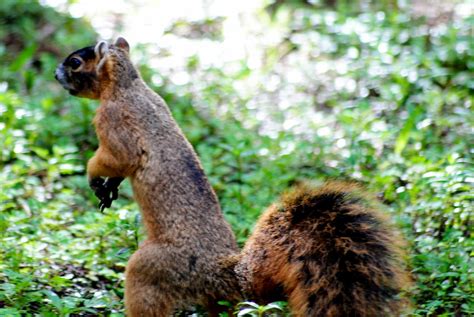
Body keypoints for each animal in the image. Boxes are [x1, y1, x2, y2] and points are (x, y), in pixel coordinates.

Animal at [55, 37, 410, 316]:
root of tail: (226, 274)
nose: (57, 74)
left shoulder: (114, 123)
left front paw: (93, 177)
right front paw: (109, 189)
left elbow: (115, 158)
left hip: (152, 267)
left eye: (75, 62)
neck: (127, 86)